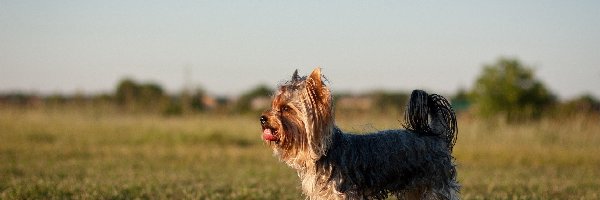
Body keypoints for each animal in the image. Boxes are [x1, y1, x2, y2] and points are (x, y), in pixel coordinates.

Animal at [258, 68, 460, 199]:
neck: (324, 153)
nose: (262, 118)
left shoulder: (341, 193)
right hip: (415, 189)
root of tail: (436, 136)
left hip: (436, 185)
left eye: (286, 109)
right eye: (273, 106)